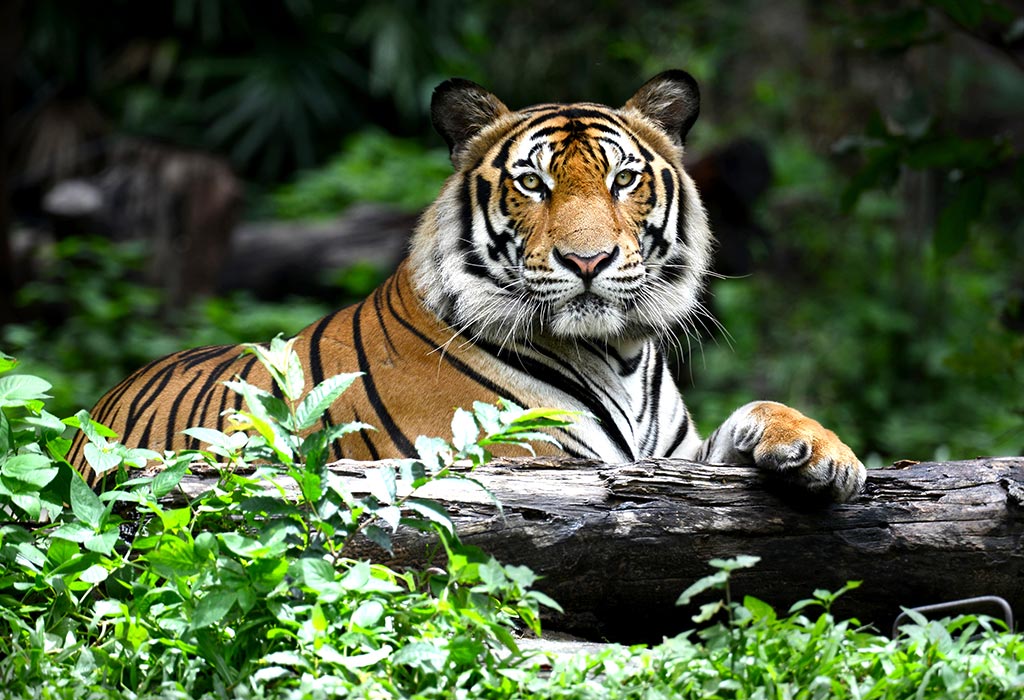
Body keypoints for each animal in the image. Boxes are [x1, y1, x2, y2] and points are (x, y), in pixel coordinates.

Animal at [68, 70, 866, 501]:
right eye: (533, 184)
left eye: (623, 180)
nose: (588, 260)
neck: (618, 353)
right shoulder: (523, 461)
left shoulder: (674, 459)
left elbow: (756, 411)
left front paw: (824, 454)